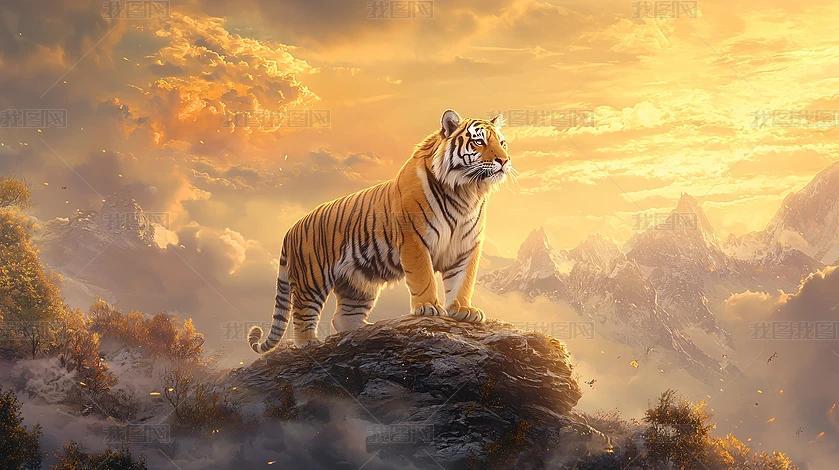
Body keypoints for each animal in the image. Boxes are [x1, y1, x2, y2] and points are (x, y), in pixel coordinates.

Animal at [248, 109, 513, 353]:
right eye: (479, 142)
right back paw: (309, 343)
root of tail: (290, 229)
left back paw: (365, 330)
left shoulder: (466, 246)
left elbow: (462, 280)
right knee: (302, 315)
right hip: (311, 279)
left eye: (502, 143)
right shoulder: (415, 240)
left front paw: (462, 310)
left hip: (358, 285)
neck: (466, 191)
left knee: (342, 318)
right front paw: (428, 307)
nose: (504, 161)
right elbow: (424, 276)